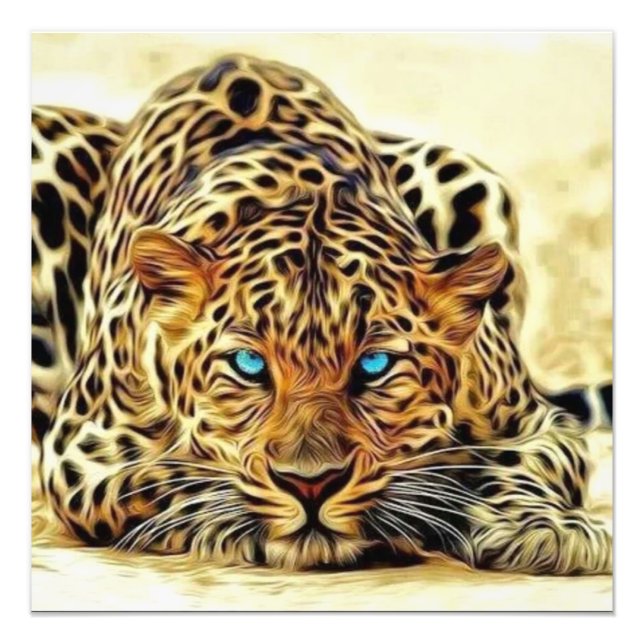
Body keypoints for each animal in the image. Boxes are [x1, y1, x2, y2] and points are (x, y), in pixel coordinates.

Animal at [32, 54, 612, 573]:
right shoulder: (83, 450)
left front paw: (545, 527)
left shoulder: (537, 425)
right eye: (248, 365)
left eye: (375, 366)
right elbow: (168, 479)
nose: (311, 483)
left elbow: (513, 464)